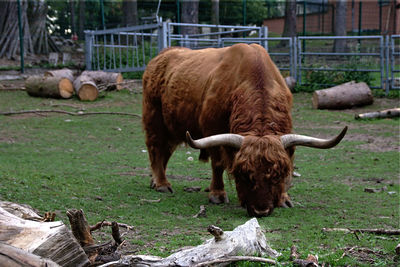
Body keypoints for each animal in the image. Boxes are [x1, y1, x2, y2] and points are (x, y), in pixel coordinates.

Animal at [141, 43, 346, 217]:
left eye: (276, 175)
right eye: (243, 174)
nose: (260, 211)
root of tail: (162, 55)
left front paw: (284, 199)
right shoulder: (212, 131)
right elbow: (218, 164)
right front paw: (217, 194)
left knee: (165, 152)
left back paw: (154, 181)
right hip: (154, 119)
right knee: (155, 148)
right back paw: (162, 184)